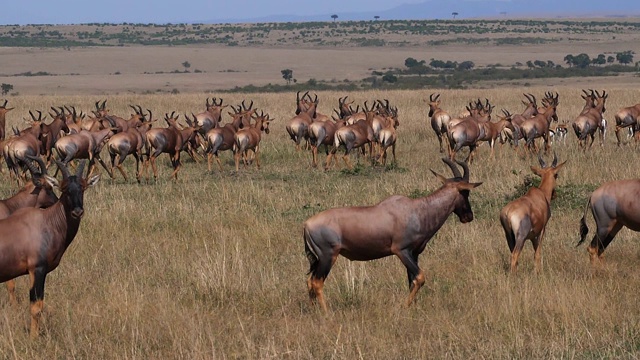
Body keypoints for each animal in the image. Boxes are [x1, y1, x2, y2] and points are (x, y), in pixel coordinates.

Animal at [0, 160, 99, 338]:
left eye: (83, 187)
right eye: (64, 188)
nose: (77, 212)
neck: (44, 222)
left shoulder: (40, 272)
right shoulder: (36, 269)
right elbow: (35, 307)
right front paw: (33, 339)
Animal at [304, 159, 480, 310]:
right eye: (465, 192)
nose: (468, 216)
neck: (417, 210)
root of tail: (307, 224)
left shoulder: (414, 253)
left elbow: (412, 280)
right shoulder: (401, 251)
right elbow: (420, 277)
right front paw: (404, 306)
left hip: (318, 259)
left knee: (310, 280)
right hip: (328, 256)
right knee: (317, 282)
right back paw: (326, 312)